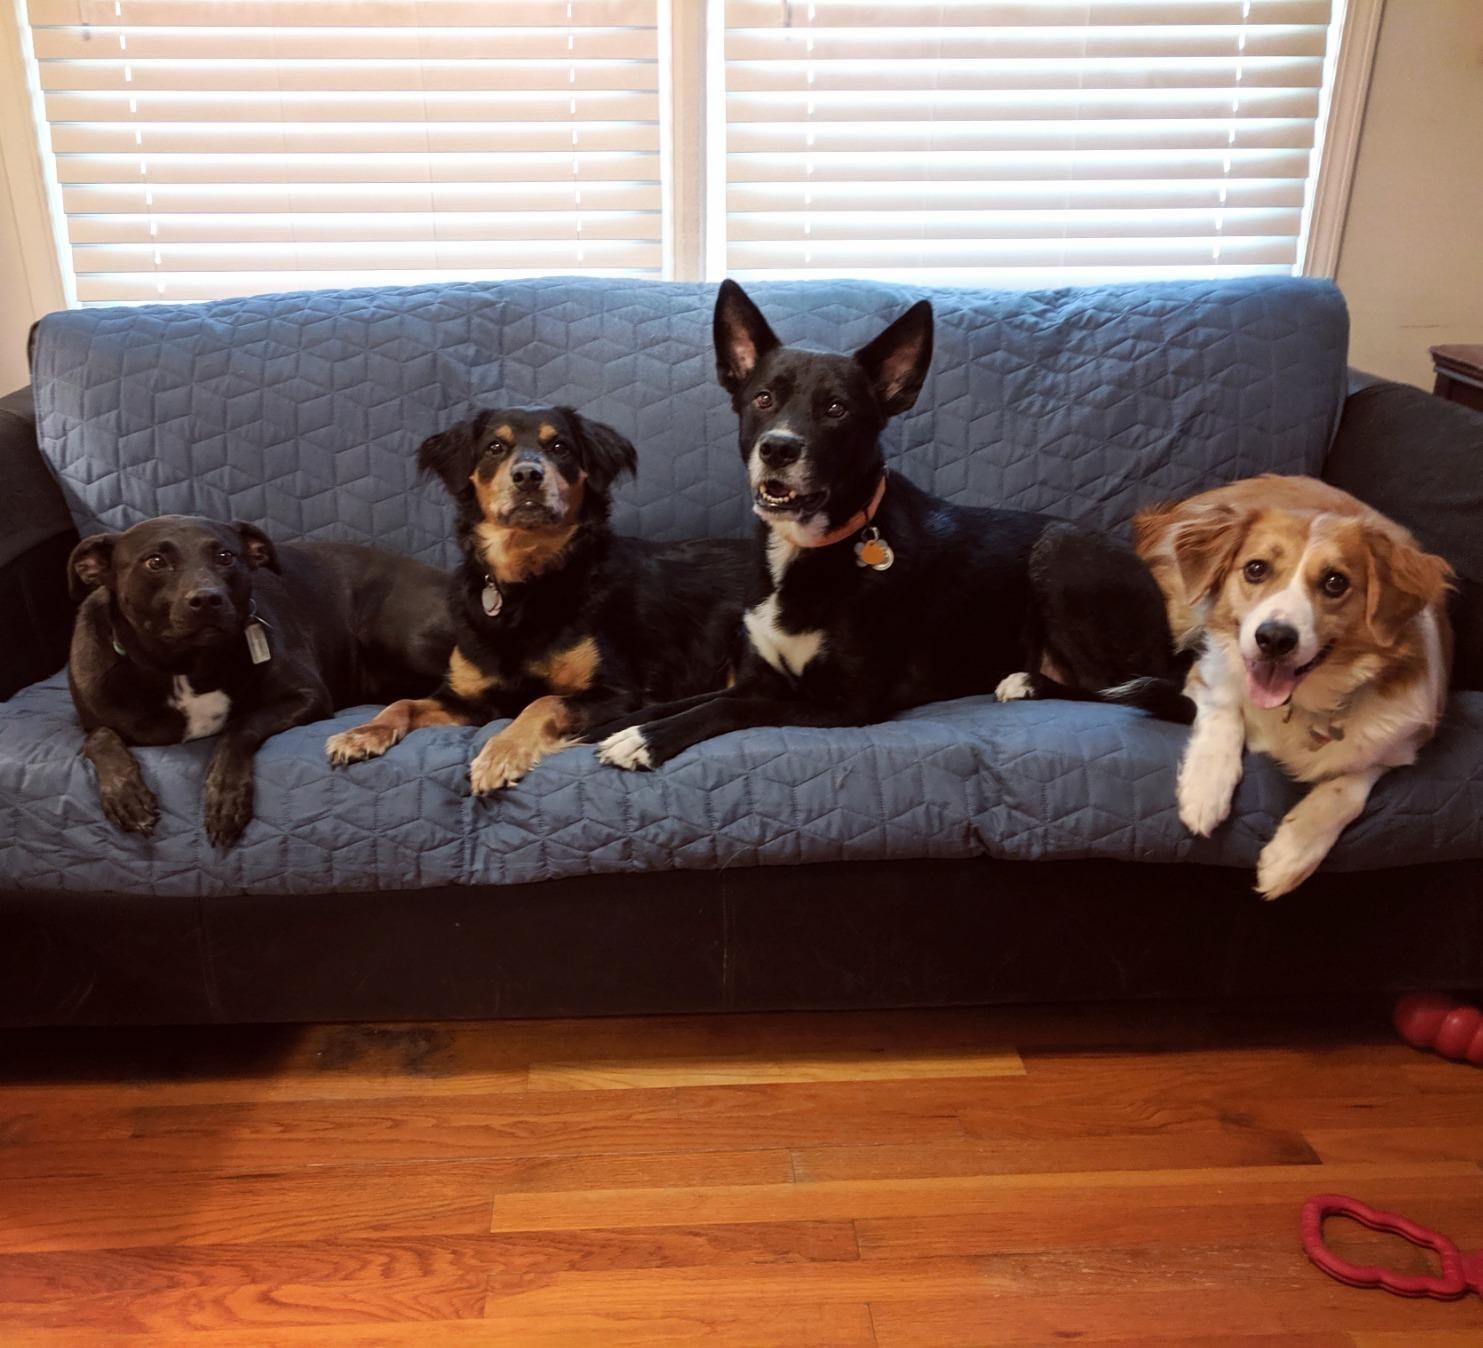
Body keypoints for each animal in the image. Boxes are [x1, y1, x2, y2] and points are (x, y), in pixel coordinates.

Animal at [69, 516, 450, 842]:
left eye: (225, 556)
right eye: (155, 562)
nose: (207, 599)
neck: (186, 665)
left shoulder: (306, 695)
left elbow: (242, 724)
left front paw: (224, 793)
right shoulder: (92, 720)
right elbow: (99, 737)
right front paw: (126, 795)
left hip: (399, 637)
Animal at [320, 406, 747, 794]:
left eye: (560, 447)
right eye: (495, 447)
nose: (527, 475)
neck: (528, 582)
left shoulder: (617, 693)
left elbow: (542, 702)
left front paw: (500, 754)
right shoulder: (467, 699)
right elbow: (403, 703)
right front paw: (360, 733)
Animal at [596, 278, 1186, 771]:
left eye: (836, 409)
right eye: (762, 399)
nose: (778, 448)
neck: (811, 547)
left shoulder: (843, 702)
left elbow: (729, 709)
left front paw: (644, 741)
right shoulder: (756, 675)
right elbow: (690, 699)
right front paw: (611, 723)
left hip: (1063, 555)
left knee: (1143, 689)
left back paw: (1028, 682)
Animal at [1133, 474, 1447, 895]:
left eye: (1335, 582)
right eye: (1255, 569)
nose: (1274, 638)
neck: (1299, 703)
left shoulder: (1400, 743)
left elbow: (1348, 788)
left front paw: (1292, 854)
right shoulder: (1208, 670)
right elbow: (1224, 713)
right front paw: (1205, 789)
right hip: (1181, 607)